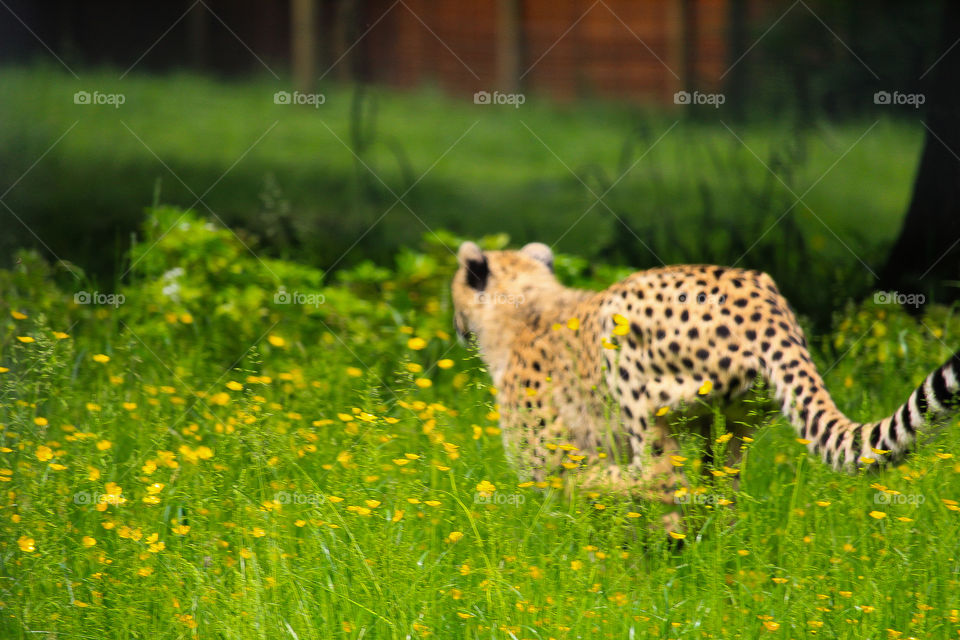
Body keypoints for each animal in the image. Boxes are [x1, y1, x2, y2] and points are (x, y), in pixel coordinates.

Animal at [450, 242, 960, 508]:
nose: (456, 327)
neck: (524, 308)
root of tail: (765, 306)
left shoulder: (546, 462)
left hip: (635, 374)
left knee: (658, 478)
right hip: (737, 416)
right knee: (721, 481)